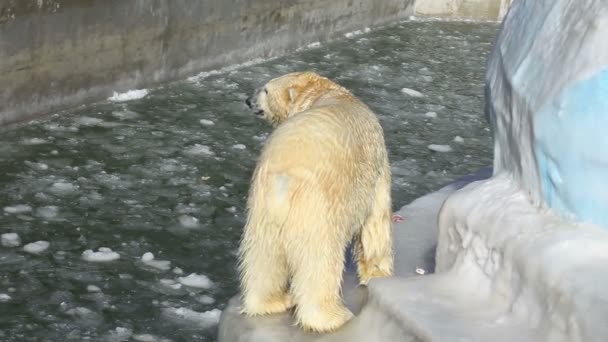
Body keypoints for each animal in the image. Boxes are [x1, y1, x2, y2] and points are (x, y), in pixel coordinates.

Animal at [238, 71, 394, 332]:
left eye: (265, 89)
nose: (249, 101)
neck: (324, 94)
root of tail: (285, 178)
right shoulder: (376, 166)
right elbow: (376, 220)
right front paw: (378, 274)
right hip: (319, 210)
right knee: (320, 263)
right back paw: (332, 317)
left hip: (262, 207)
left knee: (264, 257)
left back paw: (272, 301)